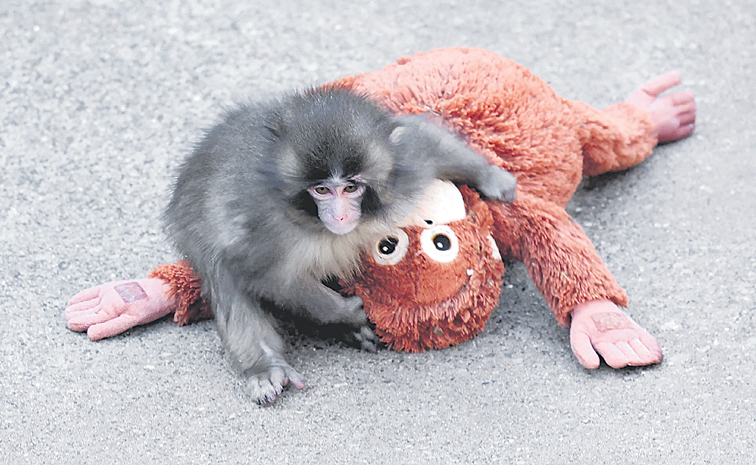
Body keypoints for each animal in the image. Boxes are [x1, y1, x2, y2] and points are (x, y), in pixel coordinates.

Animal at [164, 87, 517, 404]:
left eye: (350, 187)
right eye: (321, 190)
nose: (340, 215)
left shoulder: (402, 167)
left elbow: (425, 139)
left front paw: (491, 177)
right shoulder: (264, 227)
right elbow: (263, 276)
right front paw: (344, 312)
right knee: (223, 274)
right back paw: (265, 366)